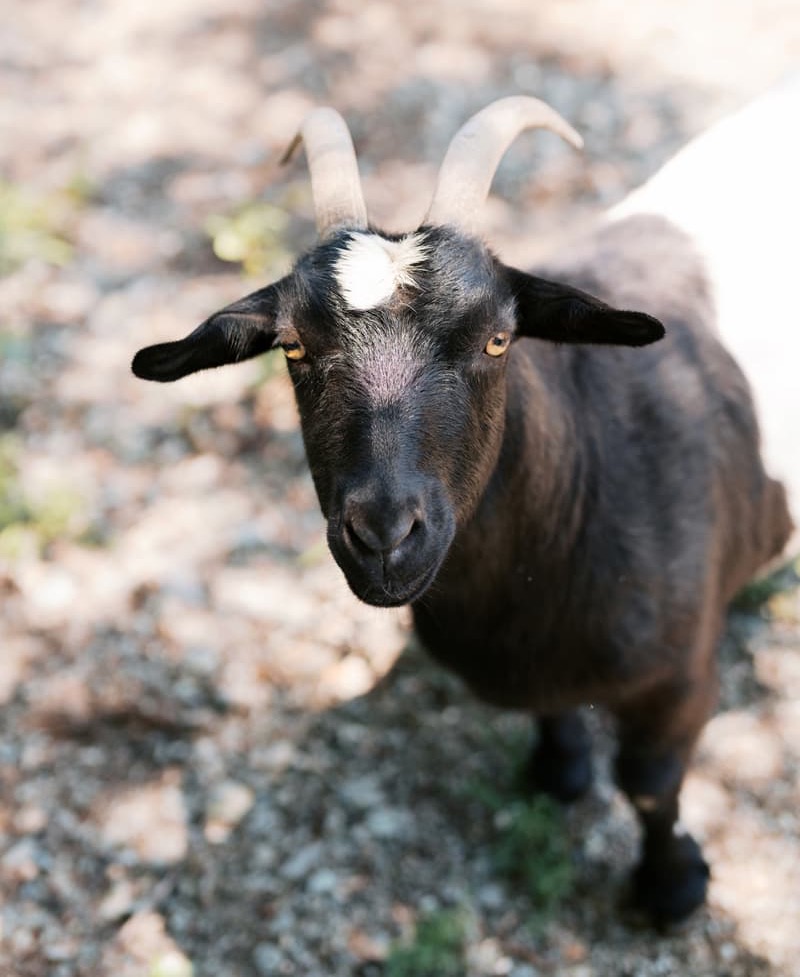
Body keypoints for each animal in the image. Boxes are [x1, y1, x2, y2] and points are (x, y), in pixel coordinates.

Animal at [132, 95, 796, 923]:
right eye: (292, 347)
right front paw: (559, 769)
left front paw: (671, 886)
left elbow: (650, 785)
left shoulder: (680, 676)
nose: (384, 535)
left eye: (498, 338)